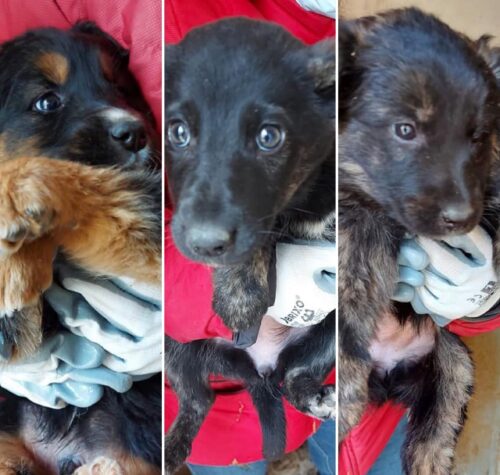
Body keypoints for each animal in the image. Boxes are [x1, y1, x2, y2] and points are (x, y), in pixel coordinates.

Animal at [165, 18, 335, 472]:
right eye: (178, 132)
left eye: (269, 136)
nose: (203, 244)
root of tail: (259, 366)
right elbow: (263, 230)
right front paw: (240, 290)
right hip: (176, 345)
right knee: (198, 399)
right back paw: (172, 449)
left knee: (296, 376)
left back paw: (317, 397)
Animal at [338, 8, 500, 474]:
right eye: (405, 130)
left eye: (478, 137)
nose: (462, 218)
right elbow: (349, 275)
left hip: (453, 365)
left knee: (435, 431)